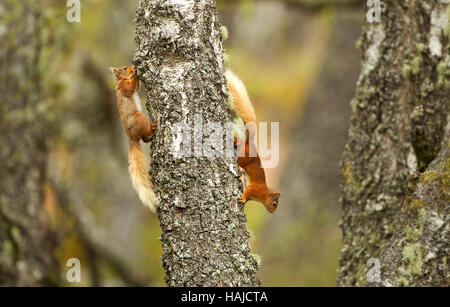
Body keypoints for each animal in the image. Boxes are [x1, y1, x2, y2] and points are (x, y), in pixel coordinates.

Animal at [109, 65, 157, 213]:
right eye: (125, 68)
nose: (132, 66)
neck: (120, 81)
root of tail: (131, 139)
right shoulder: (124, 87)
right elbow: (131, 86)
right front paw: (135, 74)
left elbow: (136, 87)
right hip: (139, 117)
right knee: (145, 138)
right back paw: (151, 128)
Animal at [227, 70, 280, 214]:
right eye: (274, 204)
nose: (272, 212)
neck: (264, 194)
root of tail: (250, 145)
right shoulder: (255, 189)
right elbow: (247, 192)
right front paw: (243, 198)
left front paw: (244, 202)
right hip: (244, 157)